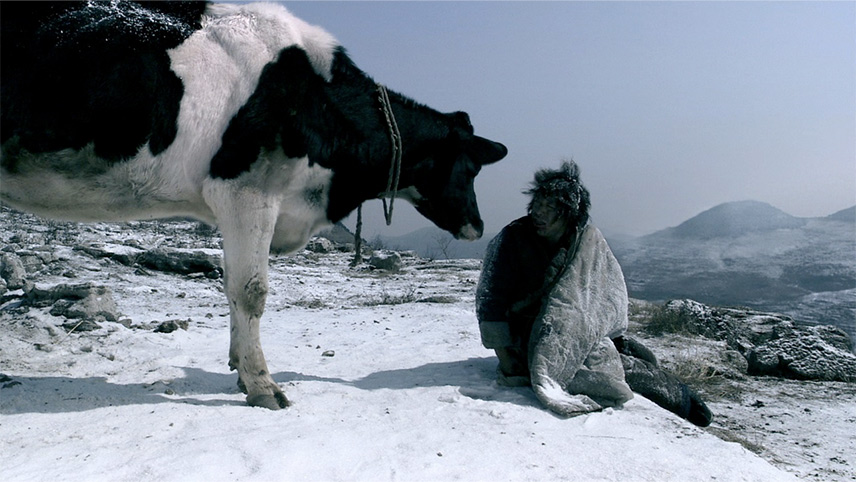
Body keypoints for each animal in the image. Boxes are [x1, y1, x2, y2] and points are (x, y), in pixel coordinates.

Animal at [0, 1, 504, 408]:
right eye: (471, 168)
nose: (479, 227)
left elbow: (230, 287)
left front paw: (239, 369)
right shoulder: (247, 191)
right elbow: (251, 290)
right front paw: (263, 385)